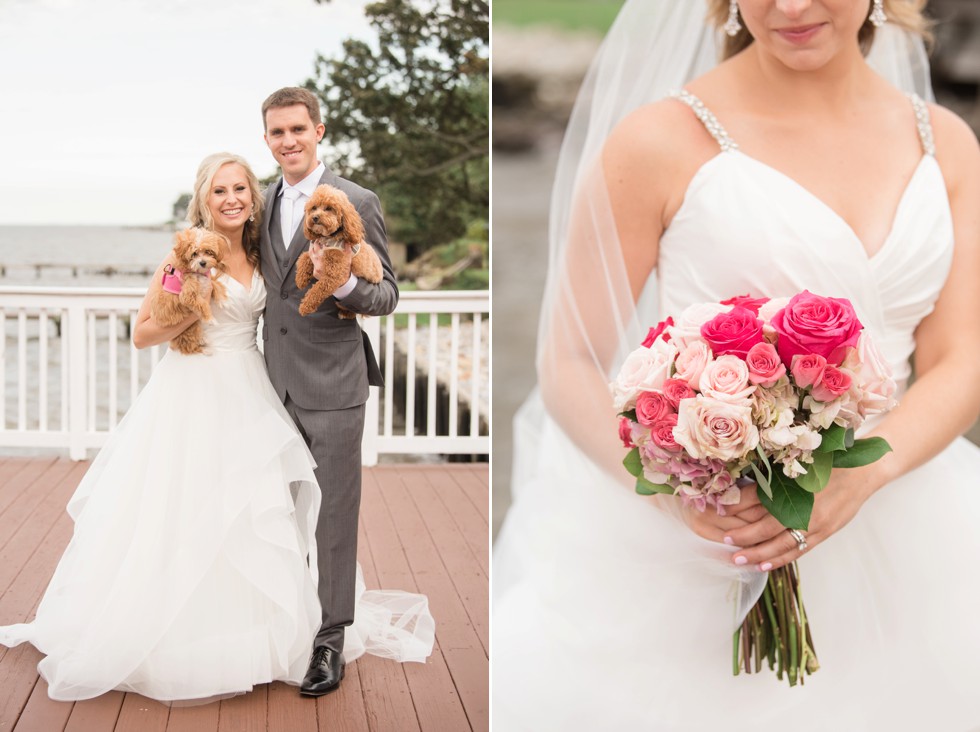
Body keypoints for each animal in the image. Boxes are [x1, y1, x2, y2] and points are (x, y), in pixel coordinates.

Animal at [294, 183, 382, 318]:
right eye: (314, 208)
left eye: (329, 208)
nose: (315, 217)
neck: (329, 237)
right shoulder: (317, 250)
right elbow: (304, 257)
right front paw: (300, 279)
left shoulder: (334, 275)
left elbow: (317, 290)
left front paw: (305, 307)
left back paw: (346, 314)